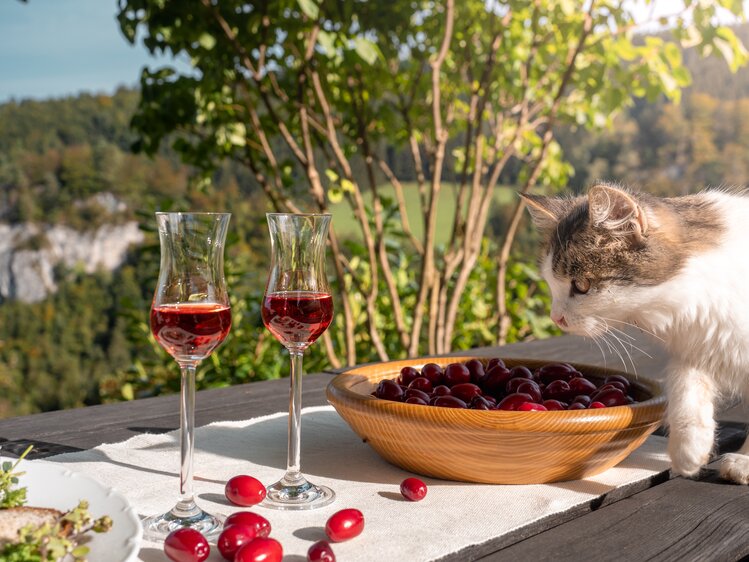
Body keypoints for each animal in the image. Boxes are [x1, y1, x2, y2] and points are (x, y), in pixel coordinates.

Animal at [520, 183, 748, 482]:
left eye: (581, 285)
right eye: (550, 283)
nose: (555, 318)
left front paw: (743, 461)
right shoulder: (699, 341)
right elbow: (684, 382)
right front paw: (688, 448)